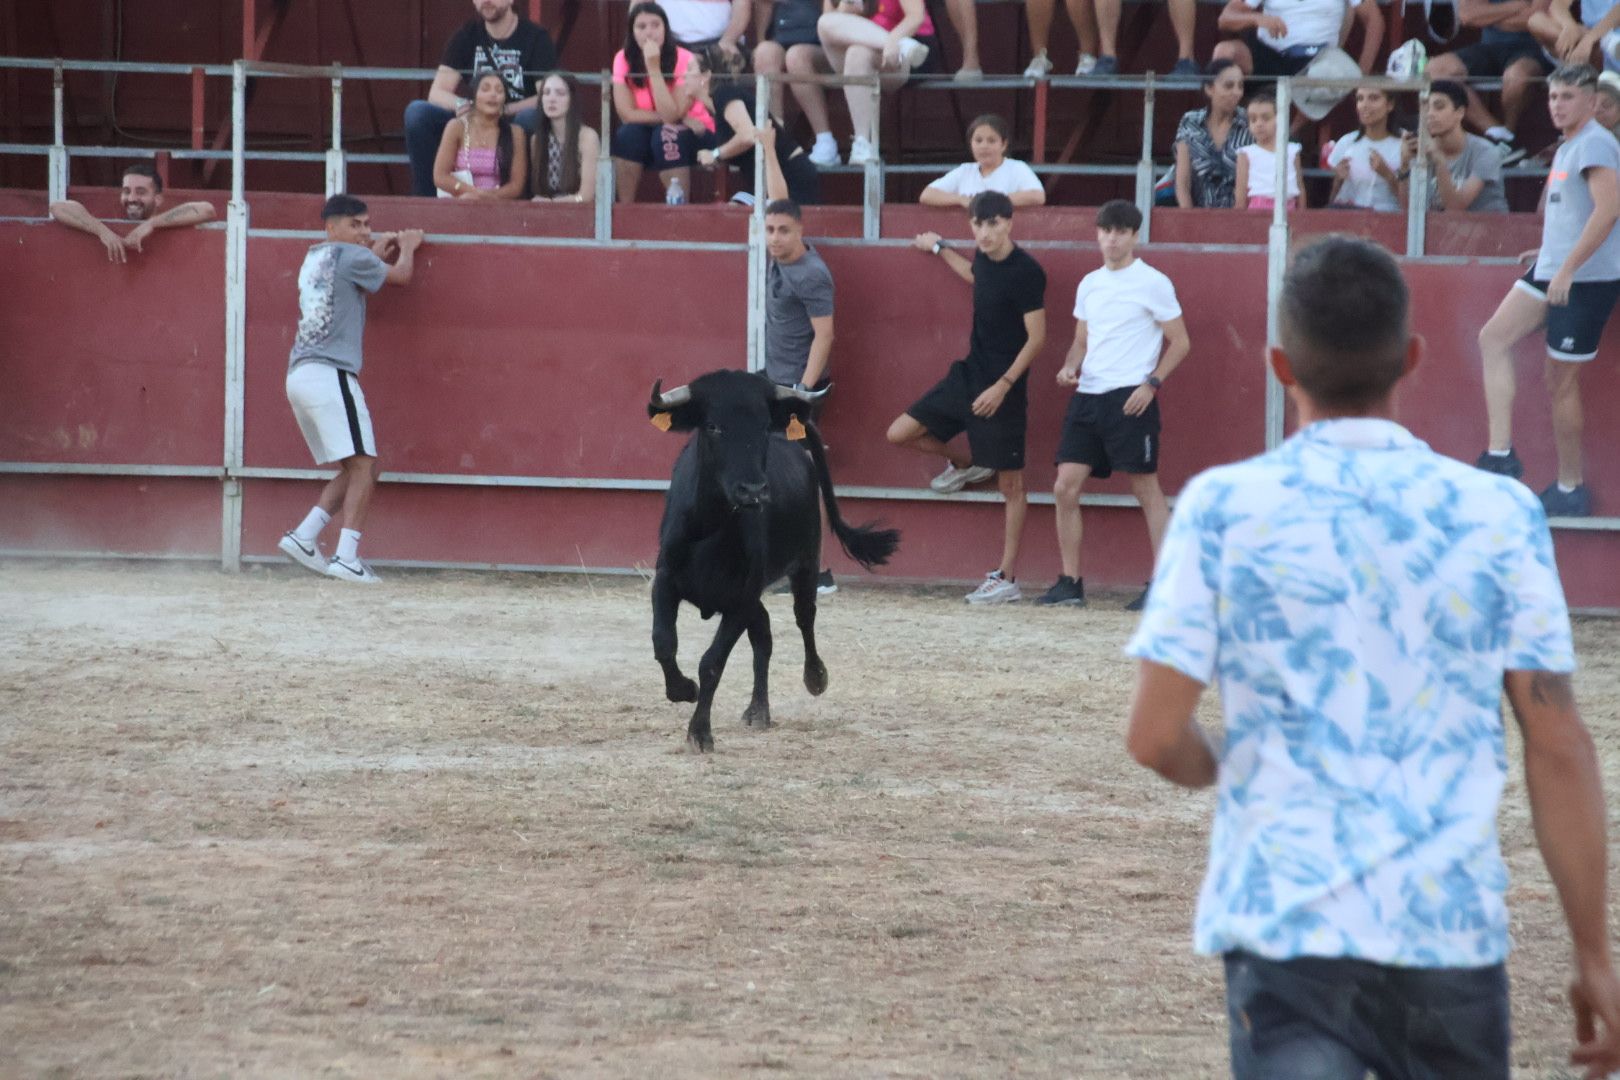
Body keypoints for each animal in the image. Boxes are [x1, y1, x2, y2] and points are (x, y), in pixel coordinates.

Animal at [644, 369, 900, 751]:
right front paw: (683, 690)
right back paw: (758, 710)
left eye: (764, 426)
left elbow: (712, 662)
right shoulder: (666, 579)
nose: (753, 491)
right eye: (713, 426)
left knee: (804, 618)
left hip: (806, 562)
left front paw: (699, 732)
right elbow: (663, 642)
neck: (711, 527)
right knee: (763, 635)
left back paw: (814, 677)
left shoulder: (741, 599)